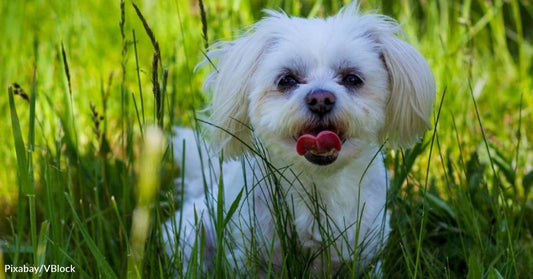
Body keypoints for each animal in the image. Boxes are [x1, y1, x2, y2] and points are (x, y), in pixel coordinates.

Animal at [164, 2, 434, 278]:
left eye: (352, 78)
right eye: (287, 80)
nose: (321, 98)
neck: (318, 183)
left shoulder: (366, 253)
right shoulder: (252, 255)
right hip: (191, 232)